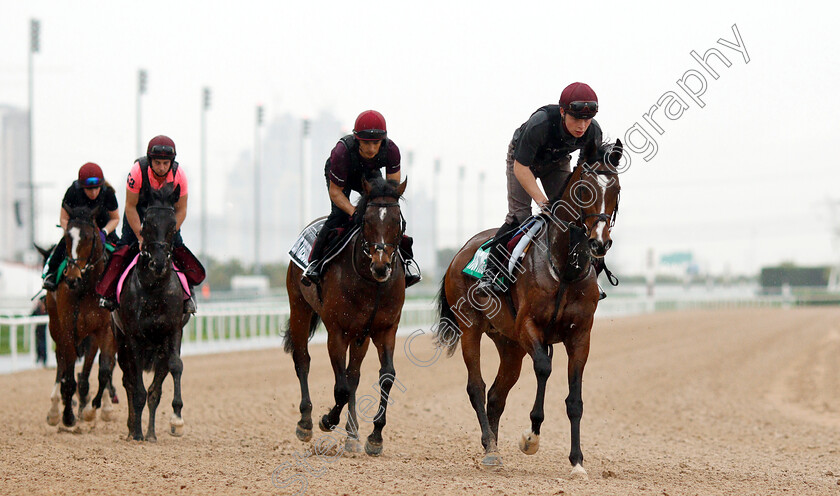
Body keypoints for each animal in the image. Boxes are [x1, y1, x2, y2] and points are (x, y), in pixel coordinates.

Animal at [43, 205, 116, 430]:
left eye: (89, 237)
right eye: (67, 237)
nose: (72, 278)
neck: (88, 288)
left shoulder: (105, 330)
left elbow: (104, 371)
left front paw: (92, 411)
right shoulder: (68, 328)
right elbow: (68, 377)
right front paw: (68, 416)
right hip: (55, 325)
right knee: (61, 362)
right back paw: (56, 411)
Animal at [112, 183, 188, 442]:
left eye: (173, 225)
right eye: (147, 223)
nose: (158, 263)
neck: (154, 288)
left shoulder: (173, 331)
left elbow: (175, 367)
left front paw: (176, 418)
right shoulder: (134, 337)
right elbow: (137, 388)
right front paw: (136, 433)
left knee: (155, 389)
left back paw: (151, 432)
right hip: (120, 340)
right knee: (128, 380)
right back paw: (132, 430)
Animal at [284, 177, 408, 458]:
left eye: (397, 221)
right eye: (367, 221)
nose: (381, 266)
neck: (371, 283)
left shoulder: (384, 330)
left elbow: (385, 376)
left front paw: (375, 437)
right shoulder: (337, 331)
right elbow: (340, 388)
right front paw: (326, 420)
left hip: (360, 335)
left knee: (353, 375)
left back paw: (352, 434)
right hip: (299, 307)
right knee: (302, 360)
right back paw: (305, 422)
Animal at [436, 139, 620, 476]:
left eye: (616, 189)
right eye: (584, 190)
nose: (599, 243)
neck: (564, 268)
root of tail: (459, 253)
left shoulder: (580, 336)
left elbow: (575, 400)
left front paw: (577, 461)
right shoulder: (529, 326)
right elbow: (544, 368)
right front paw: (531, 437)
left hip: (509, 344)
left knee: (497, 395)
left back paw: (492, 446)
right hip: (471, 327)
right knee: (477, 387)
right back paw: (491, 450)